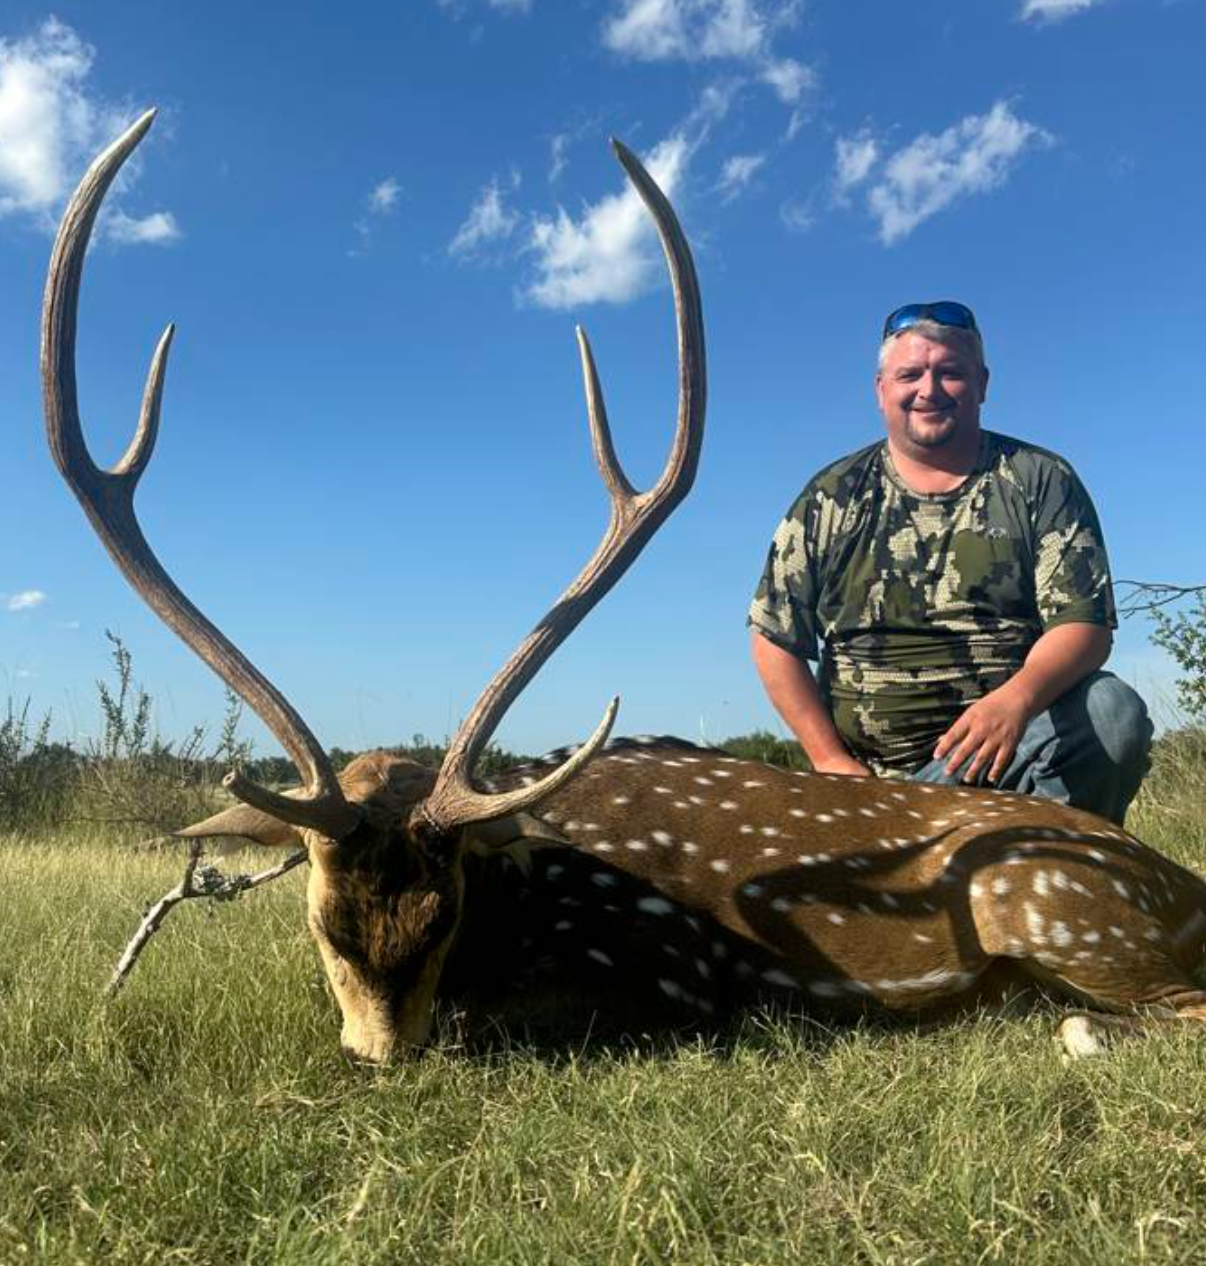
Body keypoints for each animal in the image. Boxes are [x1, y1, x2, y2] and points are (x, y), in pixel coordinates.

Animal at [45, 111, 1206, 1065]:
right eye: (326, 925)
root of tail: (1185, 883)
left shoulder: (668, 976)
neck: (521, 885)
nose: (380, 1056)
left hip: (1054, 901)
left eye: (443, 915)